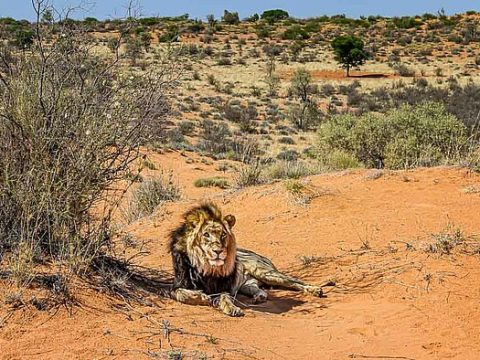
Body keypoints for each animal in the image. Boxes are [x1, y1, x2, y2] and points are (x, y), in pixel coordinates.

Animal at [168, 204, 330, 316]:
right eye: (206, 234)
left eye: (223, 235)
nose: (218, 251)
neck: (205, 266)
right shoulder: (177, 285)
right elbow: (180, 294)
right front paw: (201, 296)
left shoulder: (223, 288)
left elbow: (224, 298)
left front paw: (232, 309)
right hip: (247, 285)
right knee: (261, 291)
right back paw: (258, 298)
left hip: (266, 273)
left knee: (296, 281)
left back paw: (315, 289)